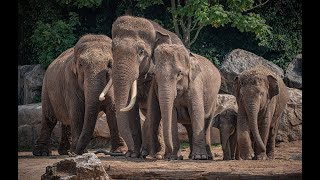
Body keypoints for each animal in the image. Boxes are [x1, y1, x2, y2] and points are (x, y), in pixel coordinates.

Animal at [99, 15, 185, 159]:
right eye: (112, 49)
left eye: (141, 51)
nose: (128, 151)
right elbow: (131, 108)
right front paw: (133, 154)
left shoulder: (154, 75)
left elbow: (153, 106)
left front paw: (157, 155)